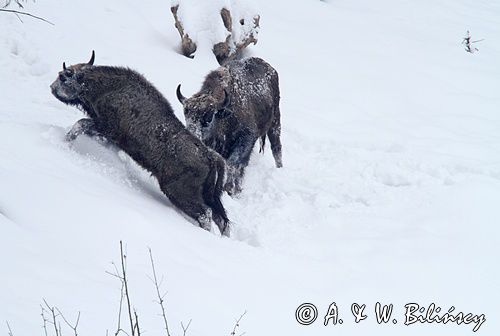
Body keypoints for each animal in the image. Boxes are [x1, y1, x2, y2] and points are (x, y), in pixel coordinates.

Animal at [49, 52, 229, 235]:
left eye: (64, 76)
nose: (52, 86)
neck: (107, 86)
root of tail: (209, 155)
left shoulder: (106, 128)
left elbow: (80, 124)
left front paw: (65, 141)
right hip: (210, 196)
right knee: (221, 220)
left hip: (179, 194)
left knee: (205, 215)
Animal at [178, 57, 284, 194]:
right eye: (186, 113)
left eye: (209, 117)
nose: (192, 136)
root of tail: (271, 69)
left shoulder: (245, 139)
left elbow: (233, 164)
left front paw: (229, 188)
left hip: (275, 123)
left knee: (276, 148)